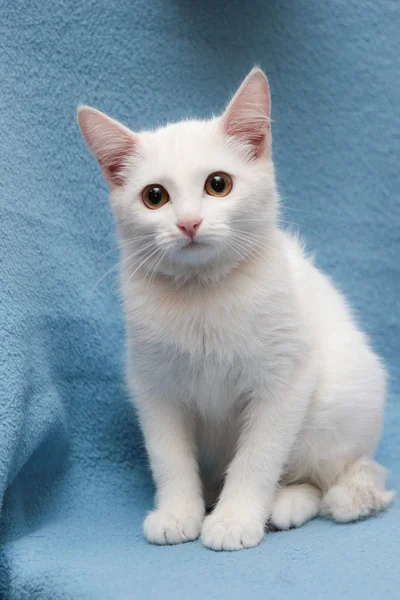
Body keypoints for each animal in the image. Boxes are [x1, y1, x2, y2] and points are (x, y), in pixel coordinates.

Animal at [77, 68, 394, 552]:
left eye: (218, 184)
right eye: (155, 196)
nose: (188, 223)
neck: (204, 295)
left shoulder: (285, 379)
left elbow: (258, 457)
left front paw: (236, 519)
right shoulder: (153, 385)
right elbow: (169, 457)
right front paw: (178, 512)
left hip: (335, 406)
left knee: (326, 477)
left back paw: (286, 504)